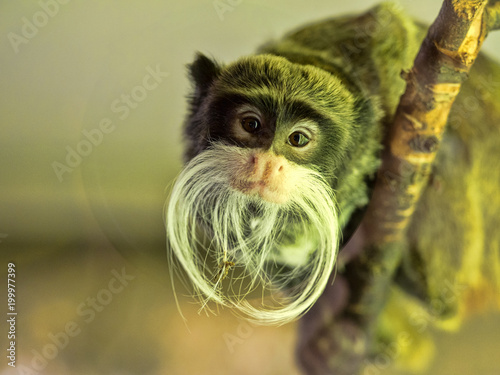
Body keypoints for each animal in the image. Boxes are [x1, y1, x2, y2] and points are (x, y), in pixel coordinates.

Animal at [165, 1, 500, 368]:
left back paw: (428, 288)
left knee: (451, 160)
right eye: (250, 124)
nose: (265, 164)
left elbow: (396, 35)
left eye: (298, 138)